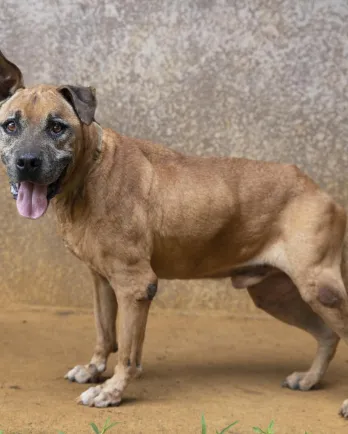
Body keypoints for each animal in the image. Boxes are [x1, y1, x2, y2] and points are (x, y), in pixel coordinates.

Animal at [2, 50, 348, 418]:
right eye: (10, 125)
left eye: (57, 127)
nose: (27, 161)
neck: (89, 172)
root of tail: (321, 193)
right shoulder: (102, 281)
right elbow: (104, 332)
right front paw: (94, 370)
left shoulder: (135, 286)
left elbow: (128, 353)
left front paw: (112, 391)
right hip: (276, 294)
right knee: (328, 335)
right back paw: (309, 379)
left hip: (318, 289)